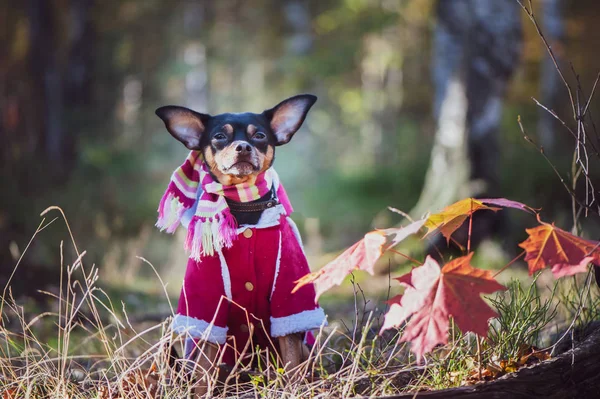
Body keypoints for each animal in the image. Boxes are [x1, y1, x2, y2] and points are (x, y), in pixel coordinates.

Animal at [154, 94, 324, 394]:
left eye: (259, 135)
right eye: (220, 136)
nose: (243, 146)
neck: (245, 207)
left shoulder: (288, 292)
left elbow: (292, 360)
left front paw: (293, 391)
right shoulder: (207, 301)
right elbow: (203, 372)